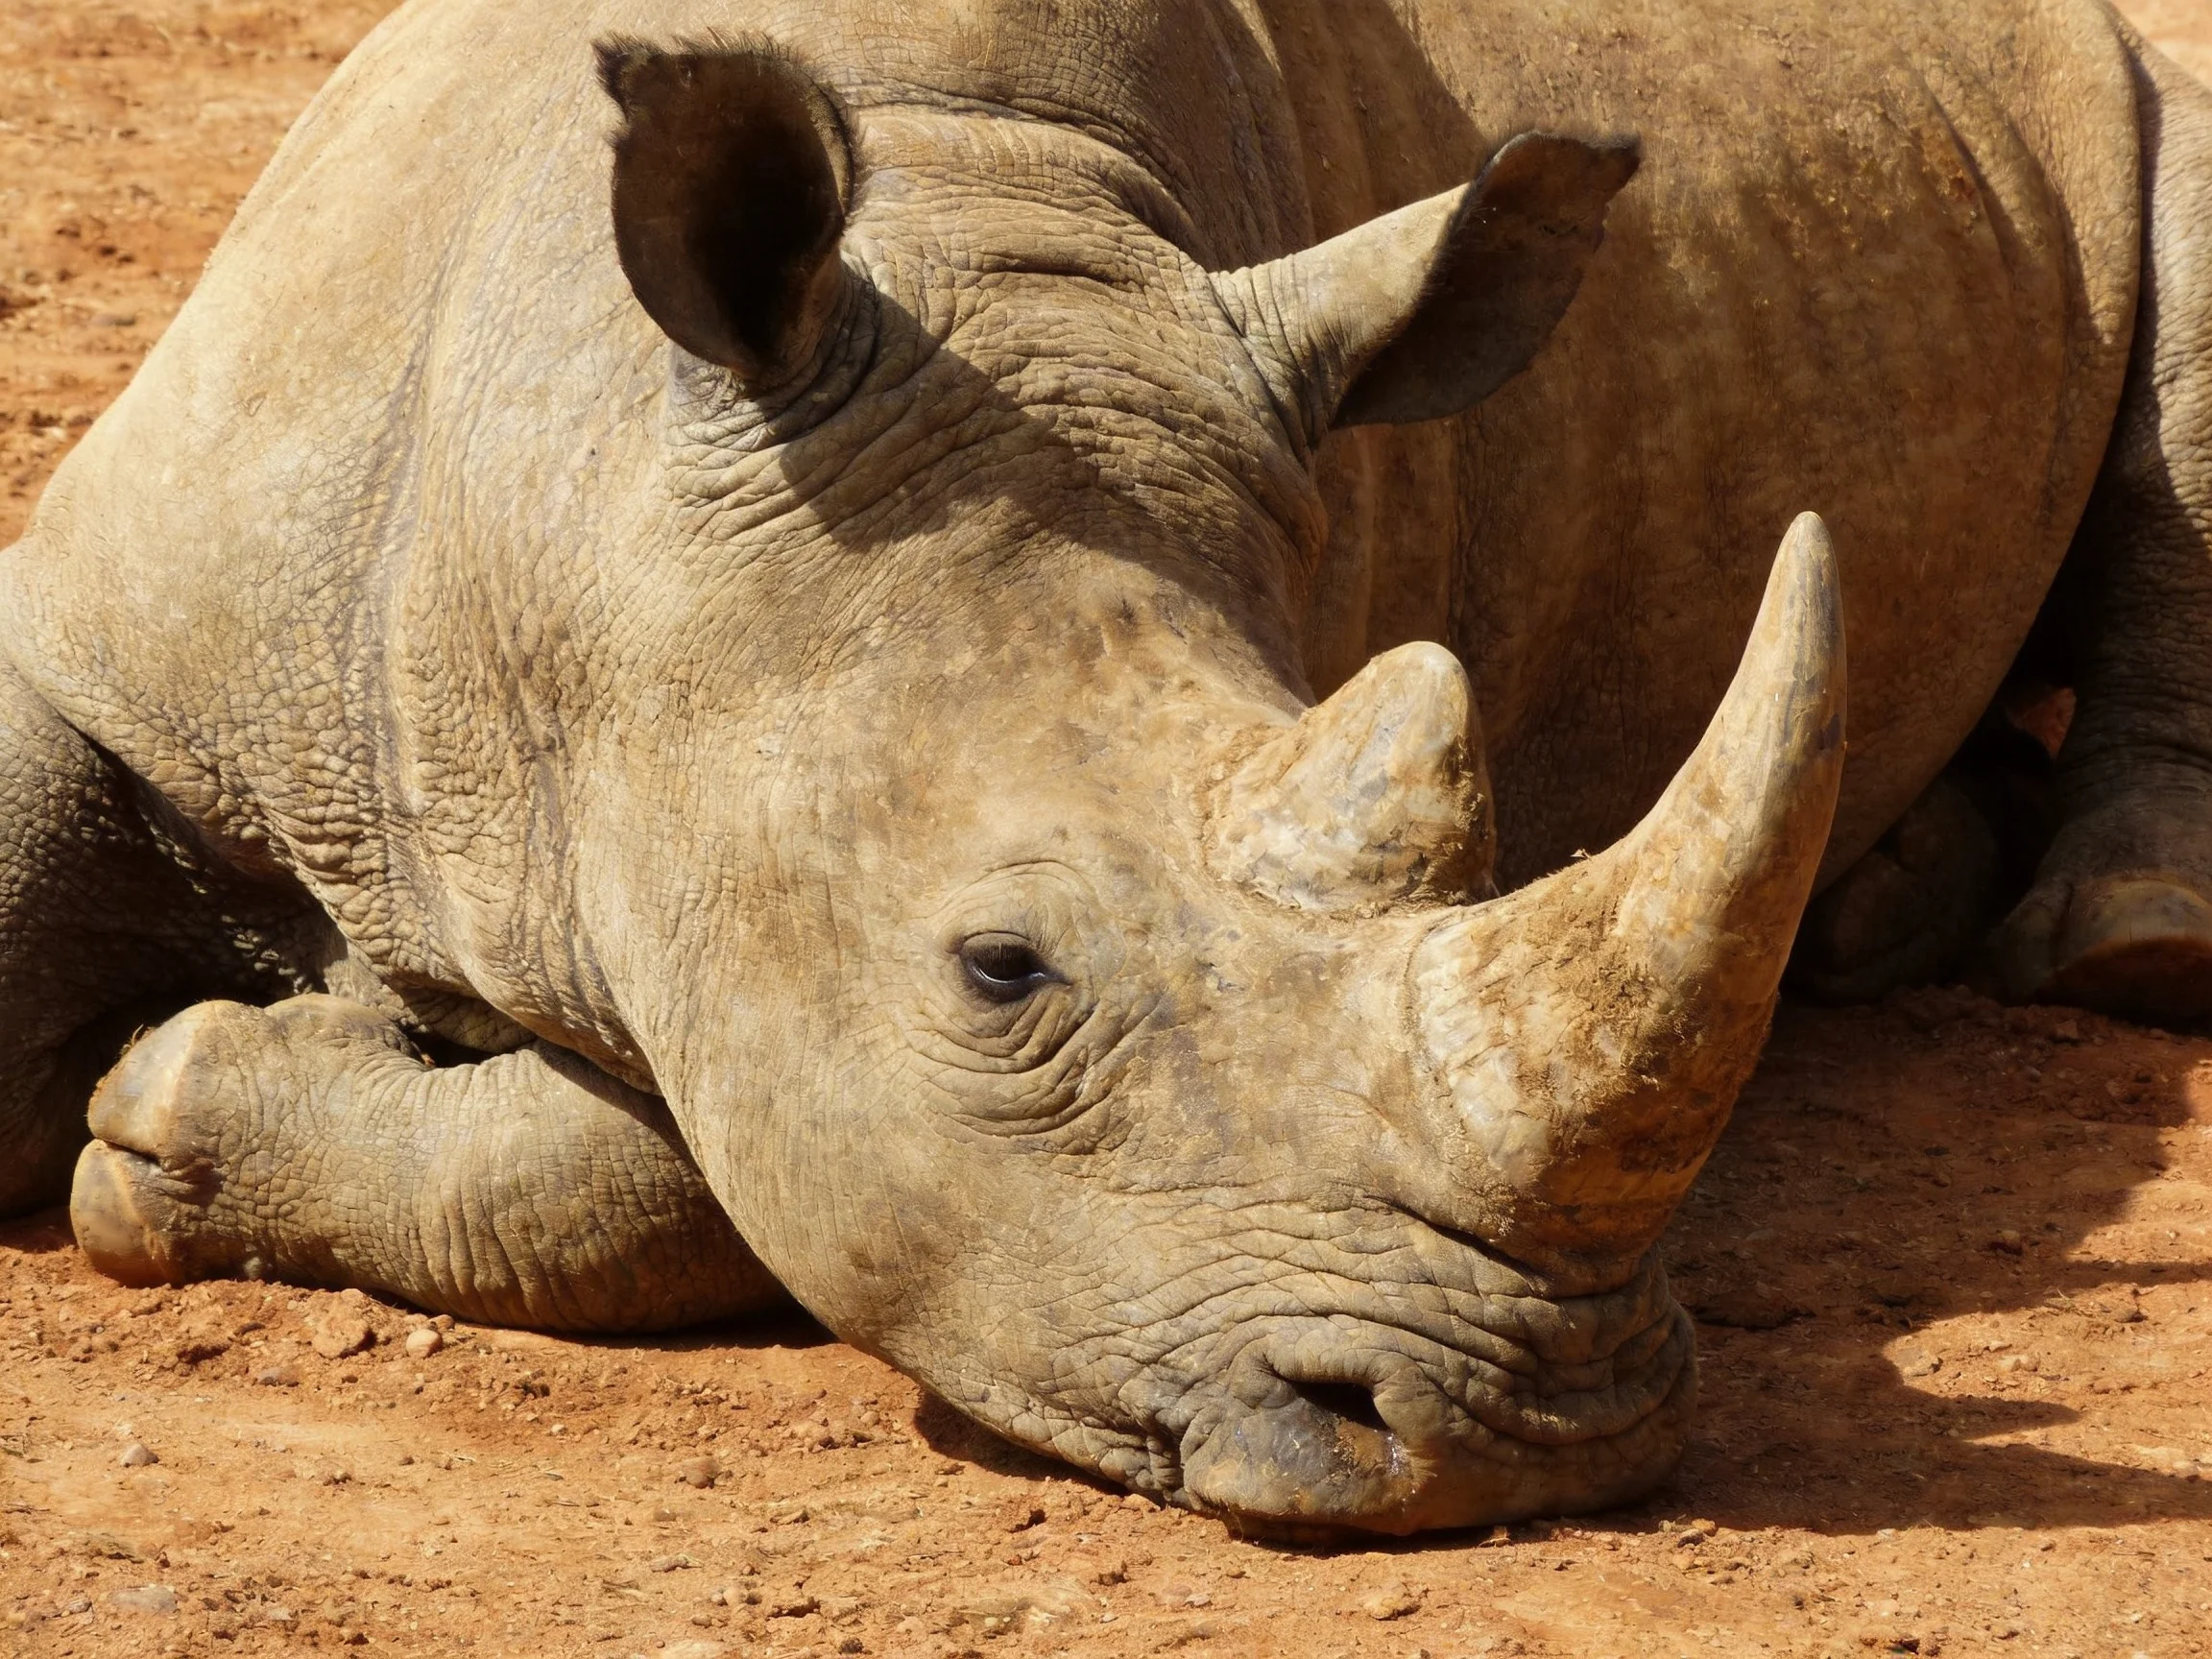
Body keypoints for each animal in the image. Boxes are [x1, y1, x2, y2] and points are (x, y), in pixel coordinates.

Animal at [1, 0, 2206, 1536]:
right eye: (1002, 972)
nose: (1524, 1430)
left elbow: (686, 1172)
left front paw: (159, 1116)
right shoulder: (153, 584)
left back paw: (2119, 947)